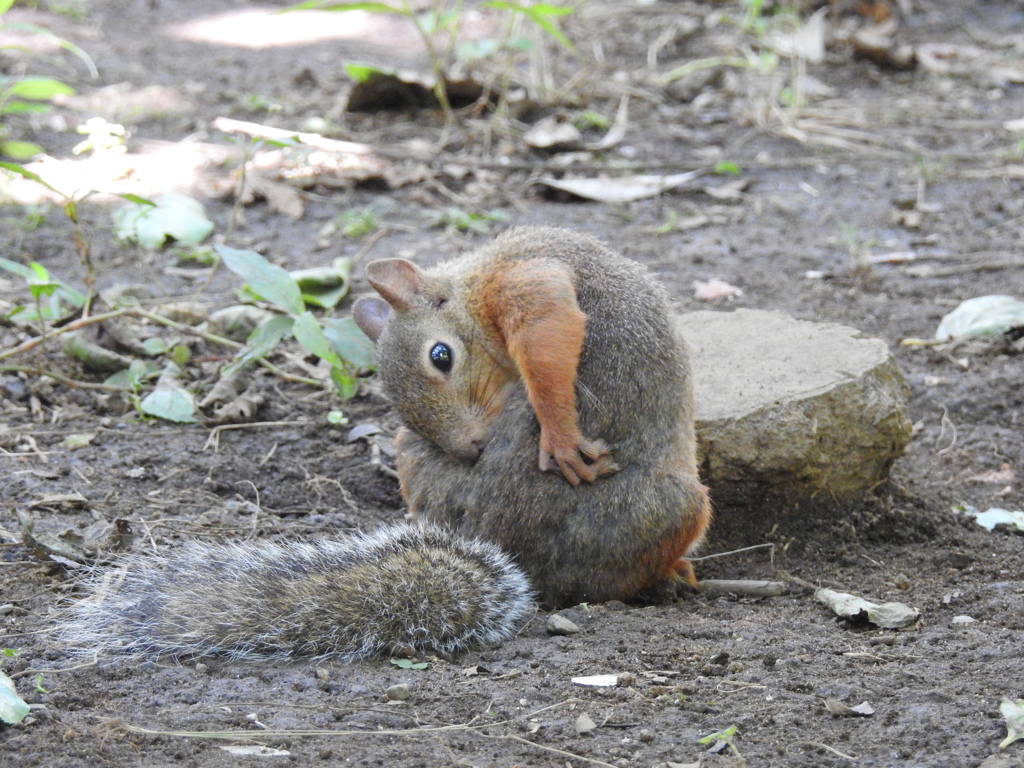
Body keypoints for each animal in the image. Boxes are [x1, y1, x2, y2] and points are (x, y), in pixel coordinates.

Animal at [59, 225, 708, 663]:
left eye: (441, 356)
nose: (470, 450)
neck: (471, 283)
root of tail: (516, 555)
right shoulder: (524, 280)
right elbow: (547, 324)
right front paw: (562, 434)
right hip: (681, 506)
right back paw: (672, 574)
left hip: (407, 456)